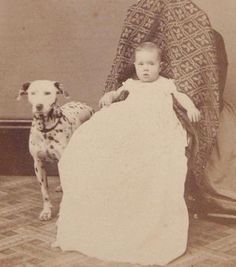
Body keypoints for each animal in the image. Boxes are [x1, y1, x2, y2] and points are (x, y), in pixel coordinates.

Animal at [17, 80, 94, 222]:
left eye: (48, 93)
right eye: (32, 93)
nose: (39, 106)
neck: (45, 128)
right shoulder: (38, 164)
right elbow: (44, 191)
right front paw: (46, 211)